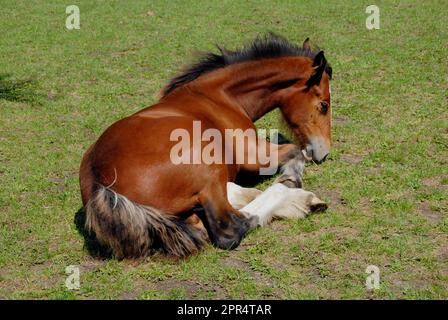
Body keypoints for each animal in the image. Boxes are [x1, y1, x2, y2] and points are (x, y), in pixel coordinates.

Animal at [79, 34, 332, 260]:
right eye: (324, 105)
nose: (324, 152)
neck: (219, 96)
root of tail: (100, 182)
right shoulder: (253, 154)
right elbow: (294, 152)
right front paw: (292, 181)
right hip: (208, 166)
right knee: (231, 226)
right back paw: (299, 200)